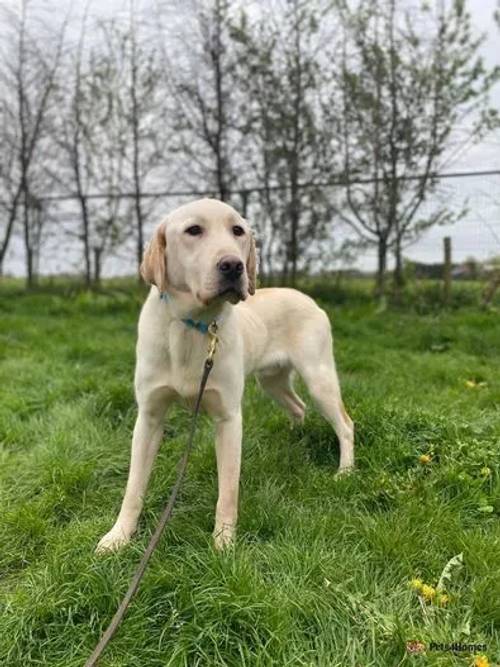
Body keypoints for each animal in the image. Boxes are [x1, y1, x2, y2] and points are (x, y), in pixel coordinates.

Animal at [96, 198, 356, 552]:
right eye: (193, 230)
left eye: (238, 231)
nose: (233, 266)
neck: (194, 325)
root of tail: (306, 297)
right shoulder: (149, 417)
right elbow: (134, 487)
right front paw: (119, 536)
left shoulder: (229, 418)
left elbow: (228, 491)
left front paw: (223, 543)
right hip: (271, 382)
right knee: (298, 407)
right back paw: (294, 440)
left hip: (319, 378)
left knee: (345, 424)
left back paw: (345, 471)